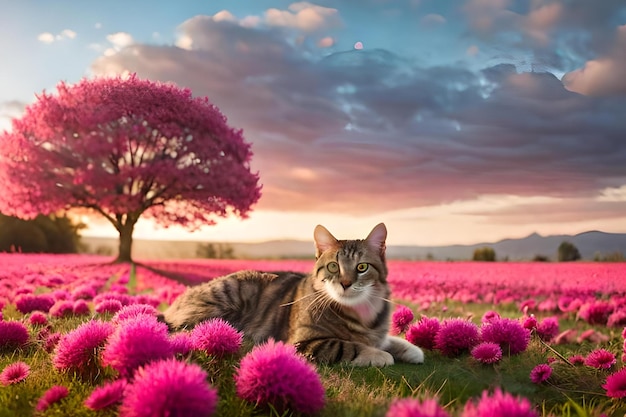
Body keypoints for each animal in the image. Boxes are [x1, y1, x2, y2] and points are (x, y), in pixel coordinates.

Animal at [161, 223, 424, 366]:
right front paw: (381, 355)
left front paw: (411, 349)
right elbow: (351, 346)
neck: (361, 312)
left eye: (362, 267)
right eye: (333, 267)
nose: (346, 283)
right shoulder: (305, 342)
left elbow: (390, 339)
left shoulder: (378, 332)